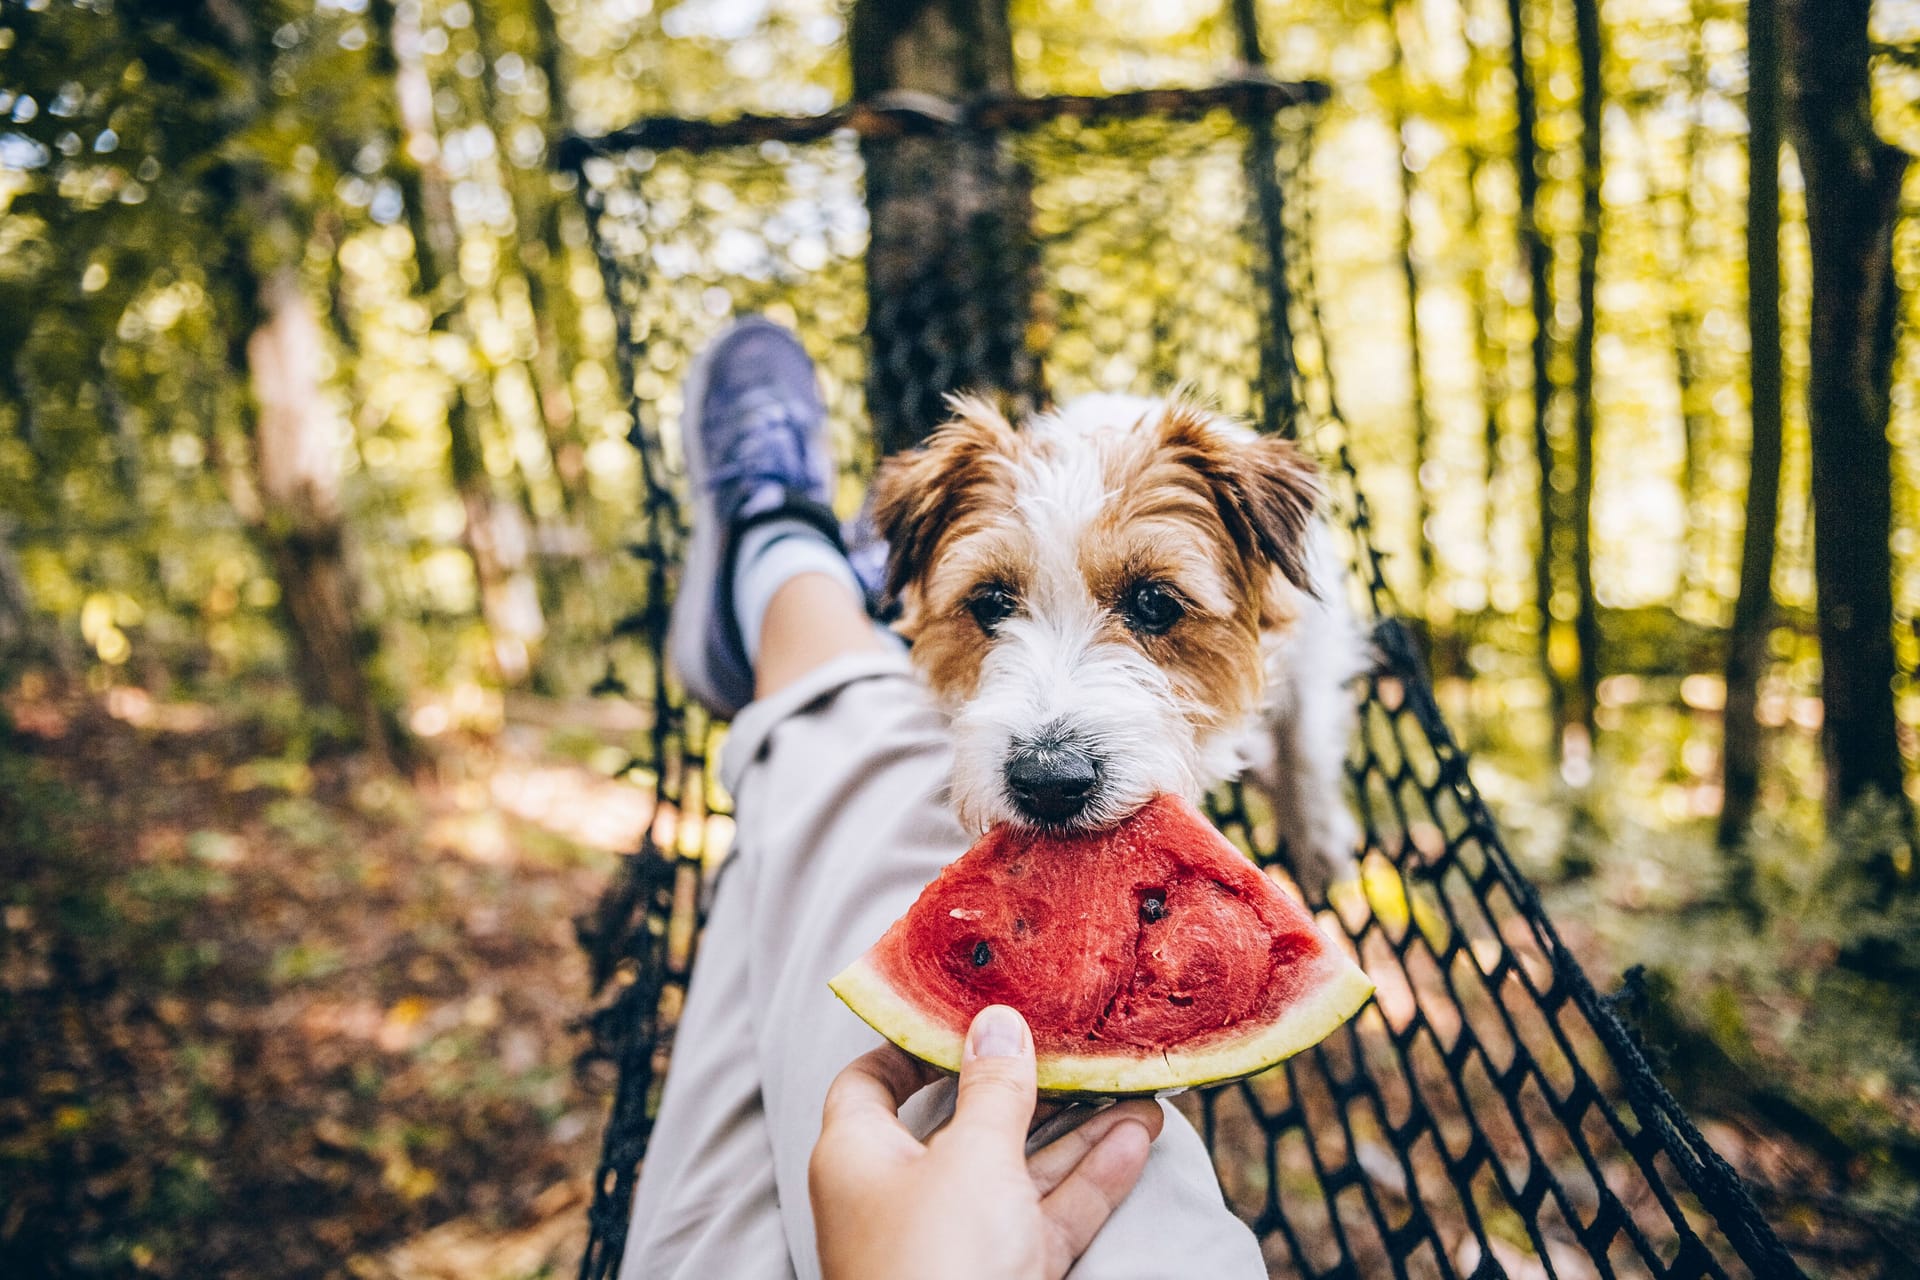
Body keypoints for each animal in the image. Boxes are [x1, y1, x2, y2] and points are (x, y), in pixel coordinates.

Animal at [871, 391, 1367, 901]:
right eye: (990, 603)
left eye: (1155, 602)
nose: (1048, 781)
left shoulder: (1313, 647)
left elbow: (1304, 745)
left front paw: (1319, 843)